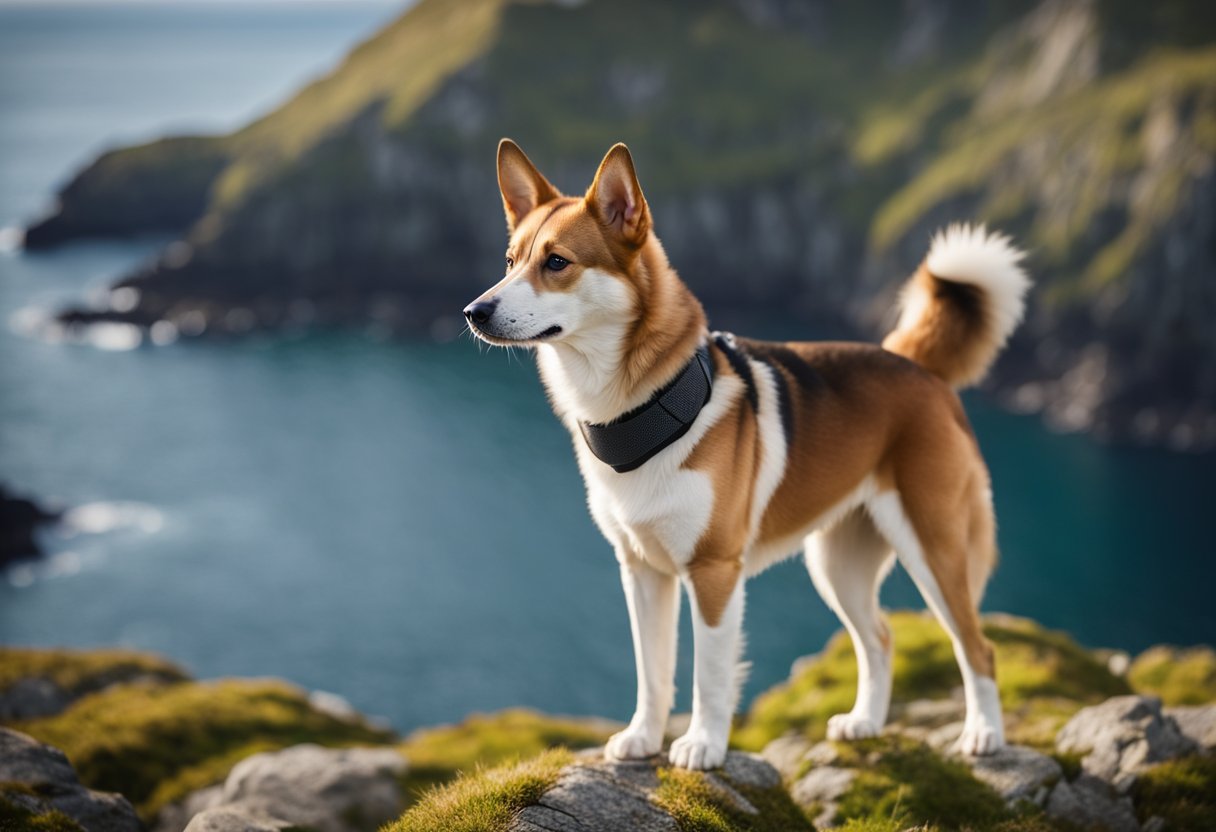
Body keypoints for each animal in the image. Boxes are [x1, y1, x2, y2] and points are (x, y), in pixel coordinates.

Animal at [462, 139, 1026, 768]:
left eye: (557, 262)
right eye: (510, 261)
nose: (474, 312)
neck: (646, 408)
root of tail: (917, 365)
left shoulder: (713, 572)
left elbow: (709, 674)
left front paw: (703, 745)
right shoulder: (641, 571)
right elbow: (653, 670)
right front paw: (643, 738)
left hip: (934, 548)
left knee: (977, 648)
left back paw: (984, 734)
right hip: (838, 565)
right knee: (880, 639)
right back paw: (865, 723)